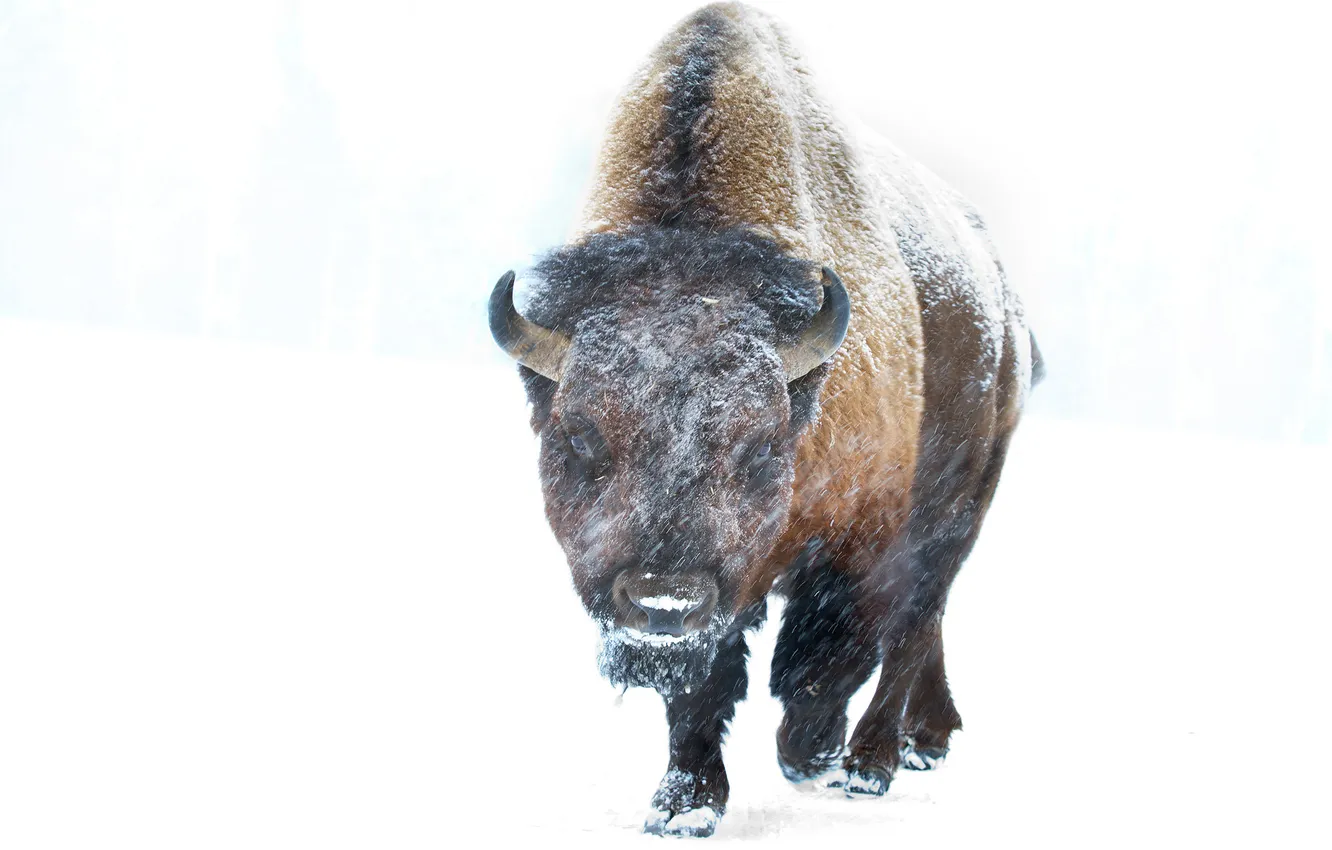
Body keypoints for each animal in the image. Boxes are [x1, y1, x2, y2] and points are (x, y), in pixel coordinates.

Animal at [488, 2, 1041, 837]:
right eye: (580, 436)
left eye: (758, 446)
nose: (661, 600)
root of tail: (1004, 307)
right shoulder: (718, 596)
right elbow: (705, 683)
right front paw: (683, 805)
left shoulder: (863, 529)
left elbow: (828, 650)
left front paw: (808, 749)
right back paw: (926, 740)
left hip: (960, 505)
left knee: (916, 621)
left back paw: (871, 763)